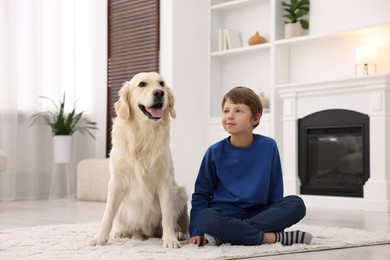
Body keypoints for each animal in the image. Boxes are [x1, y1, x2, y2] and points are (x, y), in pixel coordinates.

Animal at [90, 72, 190, 249]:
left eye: (161, 84)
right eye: (142, 84)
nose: (159, 93)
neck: (143, 133)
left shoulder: (165, 181)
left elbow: (167, 216)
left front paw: (170, 239)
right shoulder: (117, 181)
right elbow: (108, 214)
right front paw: (100, 238)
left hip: (180, 192)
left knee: (179, 221)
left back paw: (179, 233)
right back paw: (122, 232)